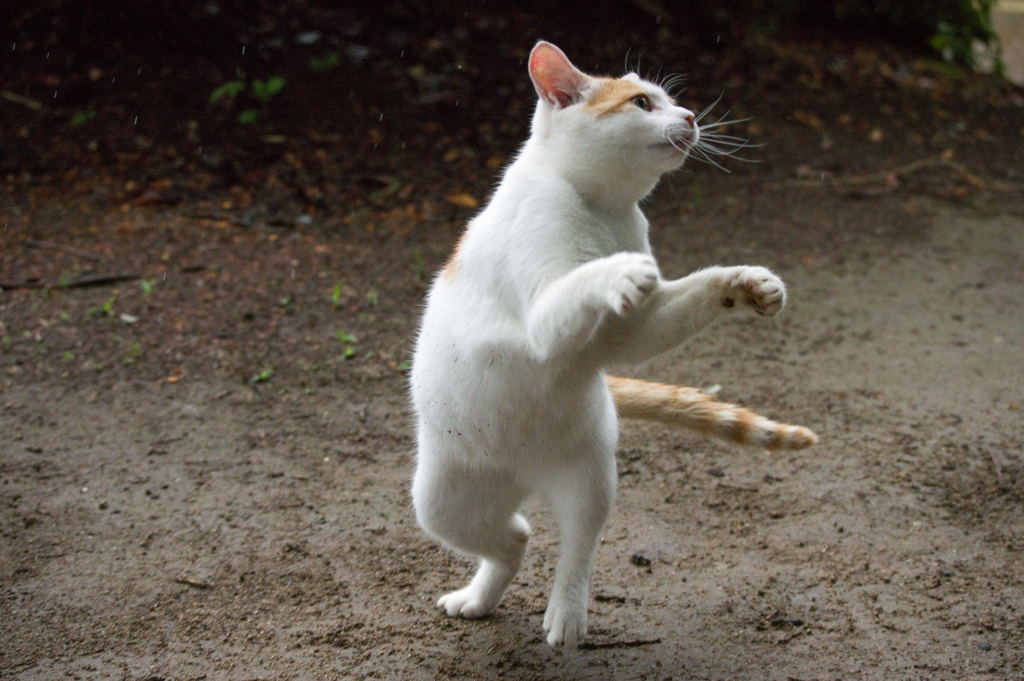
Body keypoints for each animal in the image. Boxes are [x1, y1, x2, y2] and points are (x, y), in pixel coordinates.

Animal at [407, 39, 815, 647]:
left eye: (671, 100)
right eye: (643, 103)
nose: (691, 116)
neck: (602, 207)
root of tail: (524, 478)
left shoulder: (627, 333)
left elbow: (685, 298)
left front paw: (744, 285)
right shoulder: (544, 316)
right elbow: (580, 284)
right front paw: (619, 270)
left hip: (590, 479)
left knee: (561, 546)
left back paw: (563, 613)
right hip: (439, 503)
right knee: (516, 537)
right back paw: (486, 600)